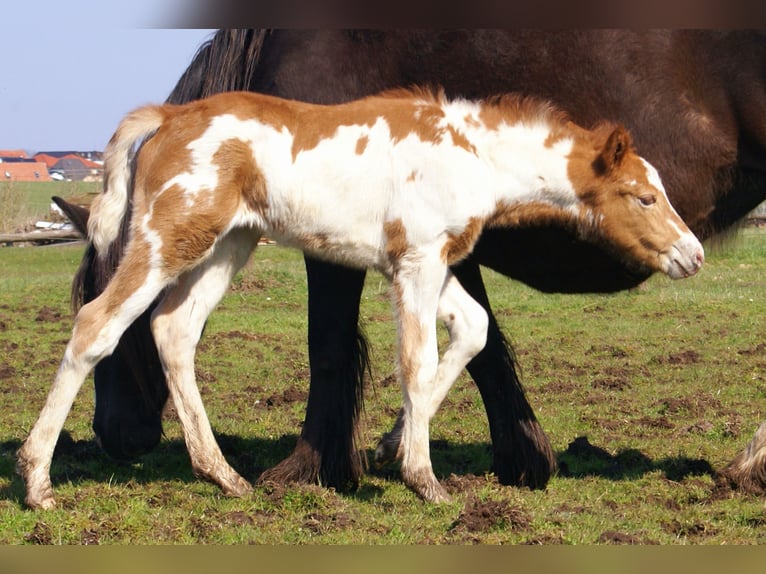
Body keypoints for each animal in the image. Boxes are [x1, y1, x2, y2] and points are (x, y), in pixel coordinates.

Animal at [56, 30, 766, 495]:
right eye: (644, 196)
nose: (693, 253)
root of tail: (168, 117)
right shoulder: (414, 260)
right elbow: (424, 350)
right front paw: (408, 467)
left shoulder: (427, 259)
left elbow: (450, 340)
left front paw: (392, 450)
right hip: (189, 242)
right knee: (129, 327)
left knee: (167, 329)